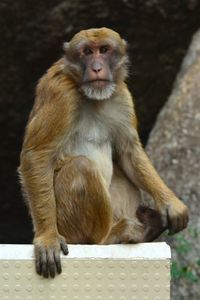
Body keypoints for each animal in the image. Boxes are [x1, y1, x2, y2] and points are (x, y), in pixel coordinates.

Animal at [18, 27, 188, 278]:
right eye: (87, 52)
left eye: (105, 50)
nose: (97, 68)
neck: (91, 96)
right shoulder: (60, 94)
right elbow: (37, 155)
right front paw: (47, 238)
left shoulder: (121, 94)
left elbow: (128, 152)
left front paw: (171, 203)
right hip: (67, 226)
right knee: (81, 166)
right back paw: (110, 237)